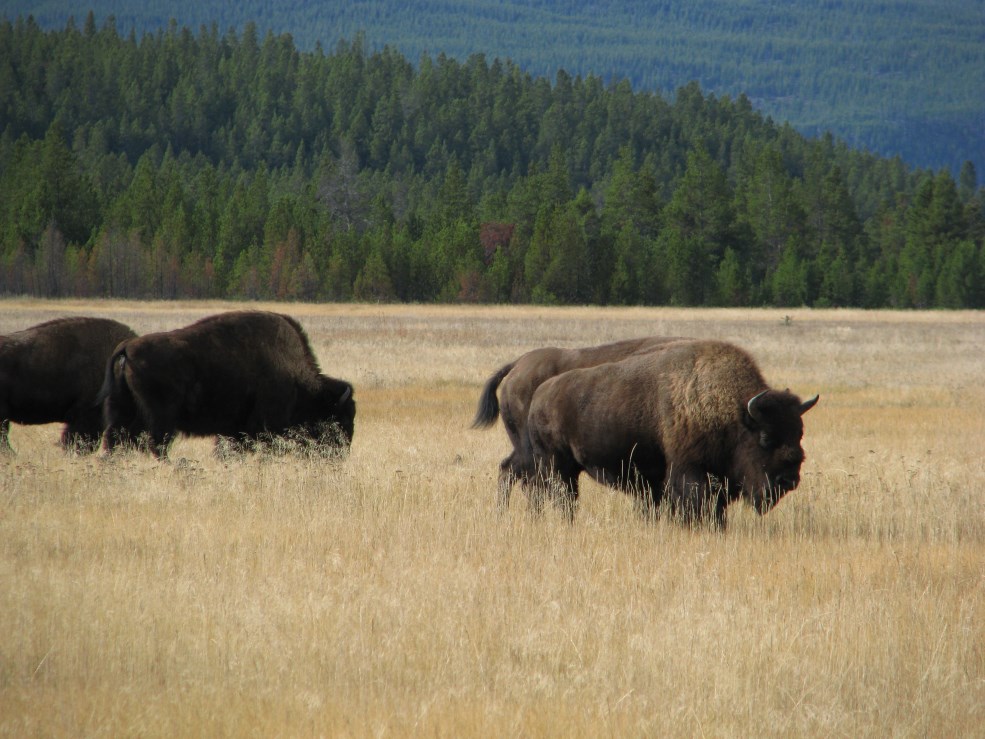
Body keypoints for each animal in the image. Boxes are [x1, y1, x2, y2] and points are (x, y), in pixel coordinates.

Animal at [99, 311, 355, 459]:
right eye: (339, 419)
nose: (341, 454)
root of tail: (129, 347)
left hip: (122, 407)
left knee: (114, 438)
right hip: (160, 417)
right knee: (156, 444)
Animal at [525, 339, 818, 527]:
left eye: (799, 434)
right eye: (766, 438)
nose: (789, 480)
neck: (732, 414)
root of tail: (539, 395)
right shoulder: (689, 472)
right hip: (557, 466)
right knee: (562, 497)